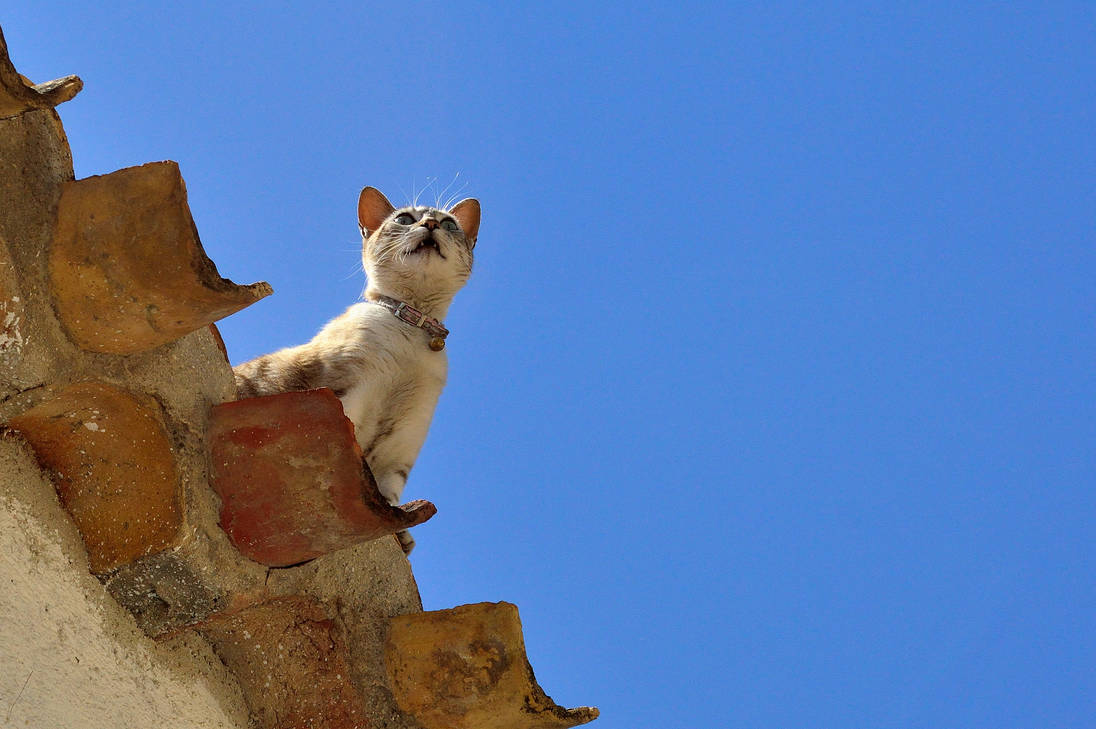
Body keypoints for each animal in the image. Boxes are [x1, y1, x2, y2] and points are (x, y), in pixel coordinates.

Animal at [235, 186, 480, 552]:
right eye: (405, 219)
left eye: (449, 224)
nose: (432, 224)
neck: (412, 331)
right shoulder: (347, 395)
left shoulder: (402, 440)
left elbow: (389, 495)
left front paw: (400, 533)